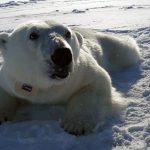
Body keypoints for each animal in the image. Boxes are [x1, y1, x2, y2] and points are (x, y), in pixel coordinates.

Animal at [0, 20, 139, 135]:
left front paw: (76, 124)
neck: (47, 84)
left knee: (126, 50)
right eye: (33, 35)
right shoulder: (12, 78)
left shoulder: (81, 71)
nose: (62, 54)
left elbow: (95, 83)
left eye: (67, 33)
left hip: (110, 46)